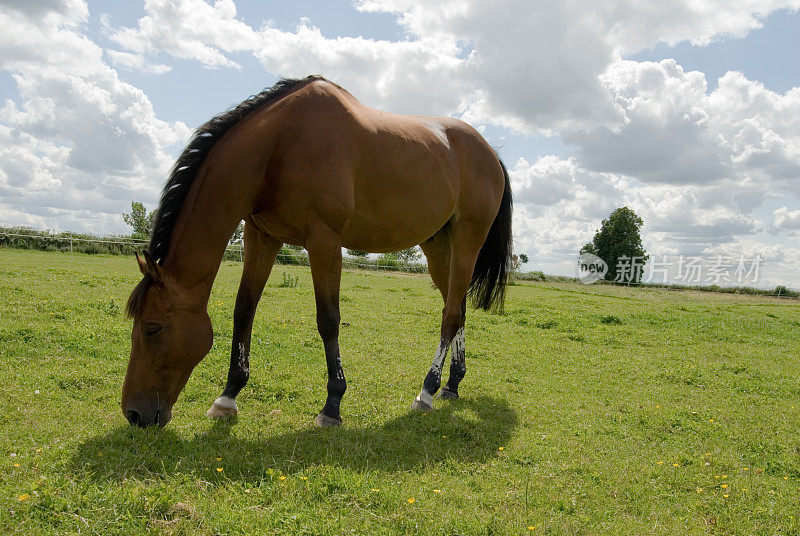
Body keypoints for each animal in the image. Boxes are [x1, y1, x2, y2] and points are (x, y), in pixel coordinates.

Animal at [123, 75, 512, 428]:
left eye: (152, 328)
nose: (134, 413)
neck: (279, 145)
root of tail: (490, 152)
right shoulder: (261, 236)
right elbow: (244, 310)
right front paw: (228, 397)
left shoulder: (324, 239)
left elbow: (328, 319)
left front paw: (332, 405)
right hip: (437, 247)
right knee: (457, 308)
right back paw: (452, 384)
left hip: (467, 241)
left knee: (450, 315)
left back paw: (427, 391)